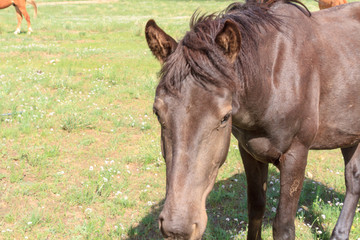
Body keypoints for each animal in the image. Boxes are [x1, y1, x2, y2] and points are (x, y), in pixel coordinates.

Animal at [145, 0, 360, 240]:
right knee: (354, 179)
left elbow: (283, 226)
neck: (272, 79)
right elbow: (256, 208)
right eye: (157, 112)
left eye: (224, 117)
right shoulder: (249, 150)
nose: (177, 228)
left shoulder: (296, 154)